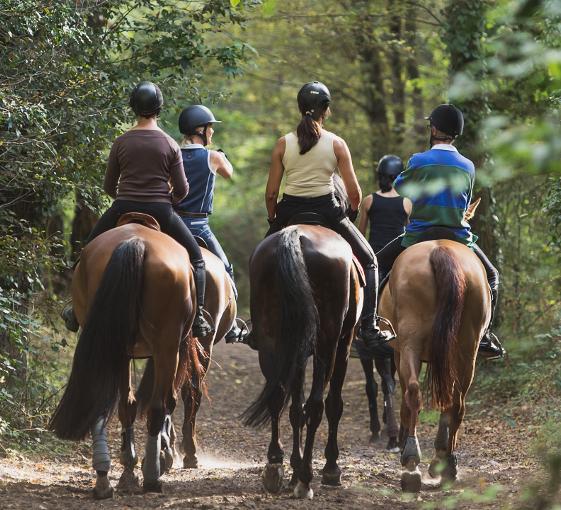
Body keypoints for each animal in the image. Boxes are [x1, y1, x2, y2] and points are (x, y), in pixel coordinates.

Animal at [49, 220, 203, 498]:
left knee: (114, 402)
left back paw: (106, 478)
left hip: (112, 342)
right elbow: (169, 401)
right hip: (166, 346)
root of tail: (136, 241)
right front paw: (163, 455)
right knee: (157, 406)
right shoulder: (175, 349)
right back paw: (151, 476)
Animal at [243, 225, 360, 500]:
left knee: (276, 396)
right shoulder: (344, 345)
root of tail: (297, 234)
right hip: (328, 343)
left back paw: (275, 465)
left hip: (272, 340)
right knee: (317, 405)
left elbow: (296, 409)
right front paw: (330, 468)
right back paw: (307, 478)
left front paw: (293, 469)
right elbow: (333, 405)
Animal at [376, 237, 490, 492]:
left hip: (410, 342)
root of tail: (442, 249)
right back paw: (448, 464)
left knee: (413, 392)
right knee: (457, 402)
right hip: (467, 347)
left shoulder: (398, 353)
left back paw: (411, 462)